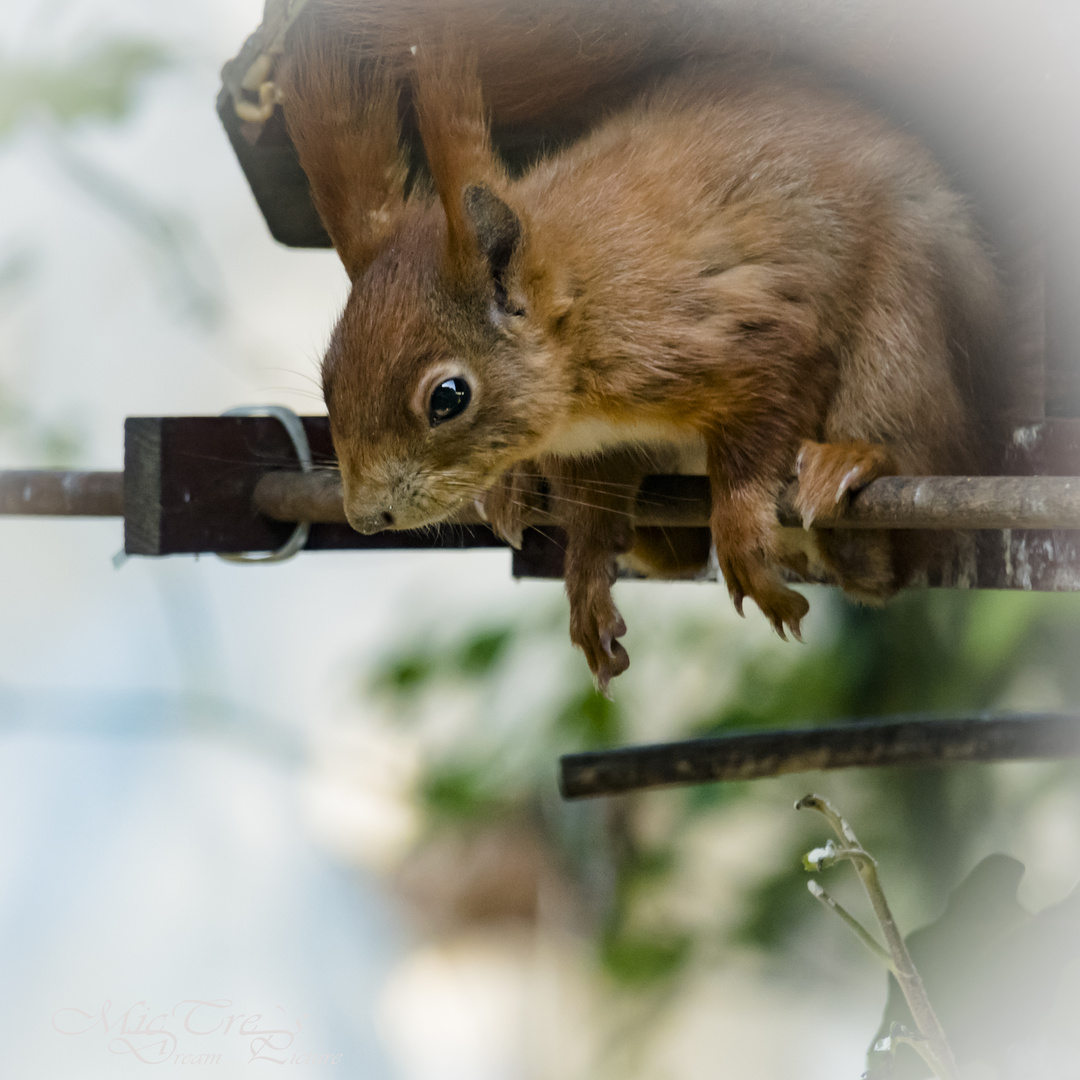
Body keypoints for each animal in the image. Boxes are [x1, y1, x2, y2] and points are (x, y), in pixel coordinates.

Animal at [276, 4, 993, 686]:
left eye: (448, 396)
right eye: (328, 378)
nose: (367, 516)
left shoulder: (731, 339)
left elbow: (763, 417)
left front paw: (738, 530)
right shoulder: (598, 449)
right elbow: (593, 515)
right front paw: (587, 580)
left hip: (901, 326)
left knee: (904, 496)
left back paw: (850, 464)